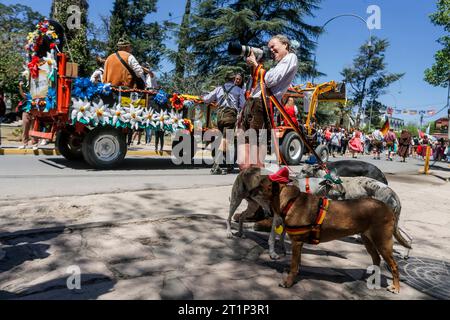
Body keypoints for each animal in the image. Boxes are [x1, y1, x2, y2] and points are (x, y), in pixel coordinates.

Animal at [260, 176, 400, 294]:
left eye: (261, 185)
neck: (291, 201)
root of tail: (387, 208)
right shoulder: (299, 244)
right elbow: (297, 262)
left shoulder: (297, 242)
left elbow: (294, 265)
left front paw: (288, 282)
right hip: (368, 240)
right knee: (376, 258)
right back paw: (372, 277)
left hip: (382, 242)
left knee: (394, 265)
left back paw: (396, 287)